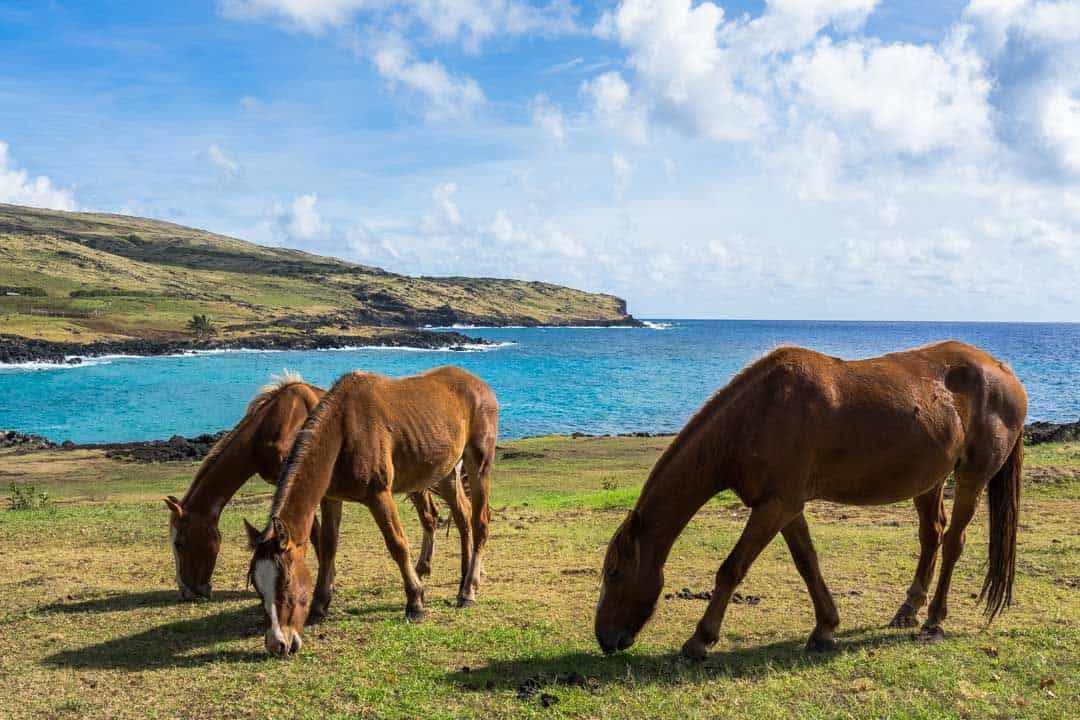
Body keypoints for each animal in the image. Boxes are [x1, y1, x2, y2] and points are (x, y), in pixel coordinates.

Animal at [163, 372, 453, 621]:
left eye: (180, 543)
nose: (187, 592)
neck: (272, 425)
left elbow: (315, 537)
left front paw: (327, 585)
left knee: (430, 517)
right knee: (430, 516)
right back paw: (423, 567)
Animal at [244, 366, 498, 655]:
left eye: (286, 584)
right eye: (258, 587)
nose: (278, 644)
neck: (342, 431)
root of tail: (479, 385)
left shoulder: (379, 495)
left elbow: (397, 545)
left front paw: (415, 602)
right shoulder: (331, 498)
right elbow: (328, 547)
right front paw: (320, 604)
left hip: (479, 464)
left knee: (479, 523)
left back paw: (468, 591)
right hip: (446, 471)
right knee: (462, 516)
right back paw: (465, 575)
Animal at [595, 341, 1027, 659]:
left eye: (614, 573)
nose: (604, 638)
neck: (759, 413)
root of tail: (1003, 371)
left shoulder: (775, 507)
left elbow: (731, 569)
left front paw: (700, 640)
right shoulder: (785, 507)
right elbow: (807, 563)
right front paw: (825, 629)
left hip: (972, 478)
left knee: (954, 542)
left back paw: (934, 621)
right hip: (930, 480)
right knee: (931, 536)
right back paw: (908, 610)